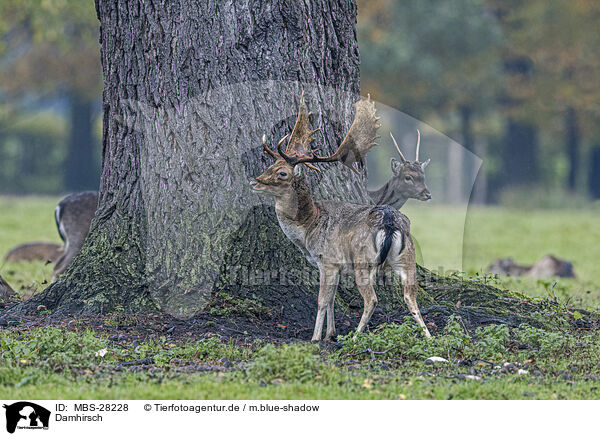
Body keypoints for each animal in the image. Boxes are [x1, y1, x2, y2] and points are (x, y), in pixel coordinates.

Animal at [250, 94, 432, 340]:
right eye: (271, 165)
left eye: (282, 173)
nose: (254, 182)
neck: (308, 227)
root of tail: (389, 222)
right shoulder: (336, 266)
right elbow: (332, 300)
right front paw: (330, 333)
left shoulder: (327, 260)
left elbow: (322, 301)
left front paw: (316, 338)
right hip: (407, 257)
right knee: (411, 297)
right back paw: (429, 337)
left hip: (363, 262)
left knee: (372, 300)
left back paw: (355, 337)